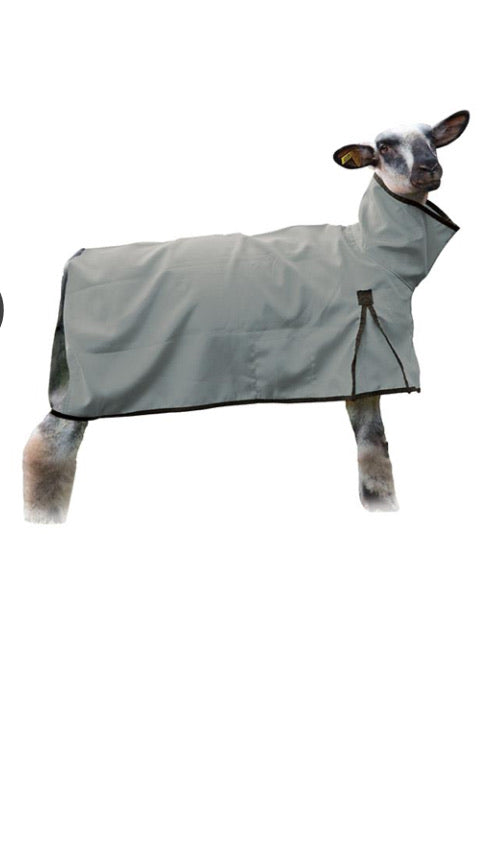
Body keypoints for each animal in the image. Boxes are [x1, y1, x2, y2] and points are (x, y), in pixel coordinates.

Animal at [23, 110, 470, 522]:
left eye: (433, 139)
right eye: (384, 148)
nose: (429, 169)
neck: (371, 252)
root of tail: (76, 260)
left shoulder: (359, 375)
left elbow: (371, 448)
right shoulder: (372, 361)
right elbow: (375, 452)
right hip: (87, 389)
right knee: (44, 447)